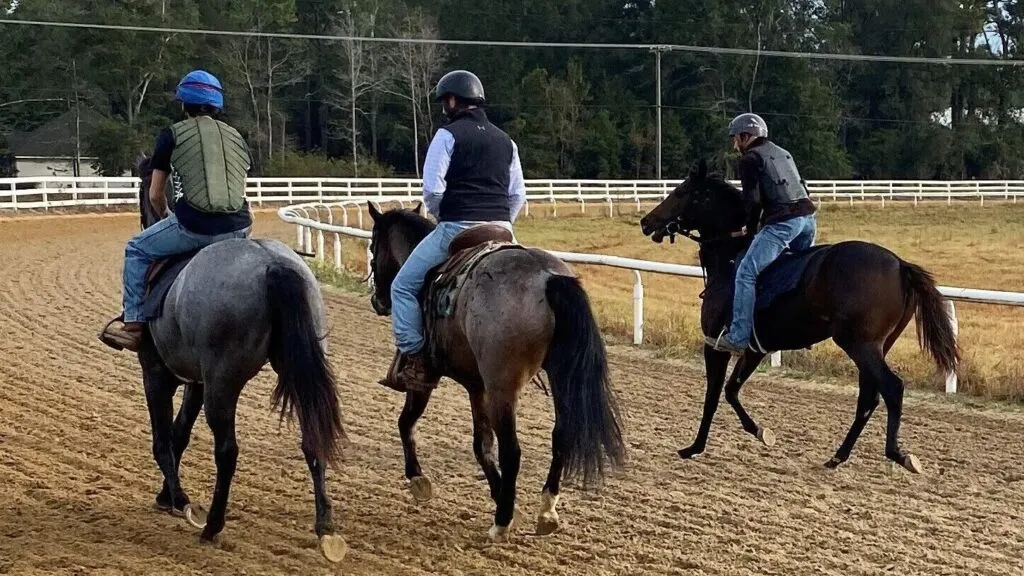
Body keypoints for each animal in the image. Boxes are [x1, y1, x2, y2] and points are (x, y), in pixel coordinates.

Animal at [120, 154, 348, 557]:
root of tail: (273, 264)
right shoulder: (196, 380)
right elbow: (179, 433)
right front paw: (166, 496)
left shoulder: (157, 374)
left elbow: (163, 438)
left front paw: (178, 499)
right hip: (295, 369)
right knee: (312, 436)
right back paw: (324, 525)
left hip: (223, 383)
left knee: (227, 450)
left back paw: (212, 524)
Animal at [364, 202, 626, 541]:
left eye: (373, 246)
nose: (377, 300)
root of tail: (547, 278)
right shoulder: (477, 386)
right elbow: (482, 445)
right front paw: (501, 494)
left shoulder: (427, 379)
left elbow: (406, 422)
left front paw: (419, 480)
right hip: (557, 377)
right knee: (561, 435)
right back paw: (545, 511)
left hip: (503, 386)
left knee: (512, 450)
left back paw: (501, 523)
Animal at [638, 158, 958, 473]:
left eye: (680, 191)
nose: (646, 222)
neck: (730, 260)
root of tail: (900, 265)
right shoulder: (755, 350)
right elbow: (731, 390)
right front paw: (761, 432)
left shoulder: (715, 344)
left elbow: (713, 396)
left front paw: (694, 447)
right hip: (877, 345)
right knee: (869, 395)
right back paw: (838, 456)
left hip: (859, 344)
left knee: (891, 388)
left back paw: (898, 454)